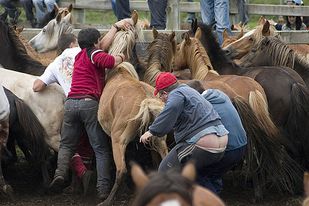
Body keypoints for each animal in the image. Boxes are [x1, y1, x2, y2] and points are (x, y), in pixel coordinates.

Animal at [97, 10, 167, 205]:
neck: (119, 70)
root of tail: (146, 101)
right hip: (159, 141)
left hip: (118, 140)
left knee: (121, 170)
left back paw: (108, 200)